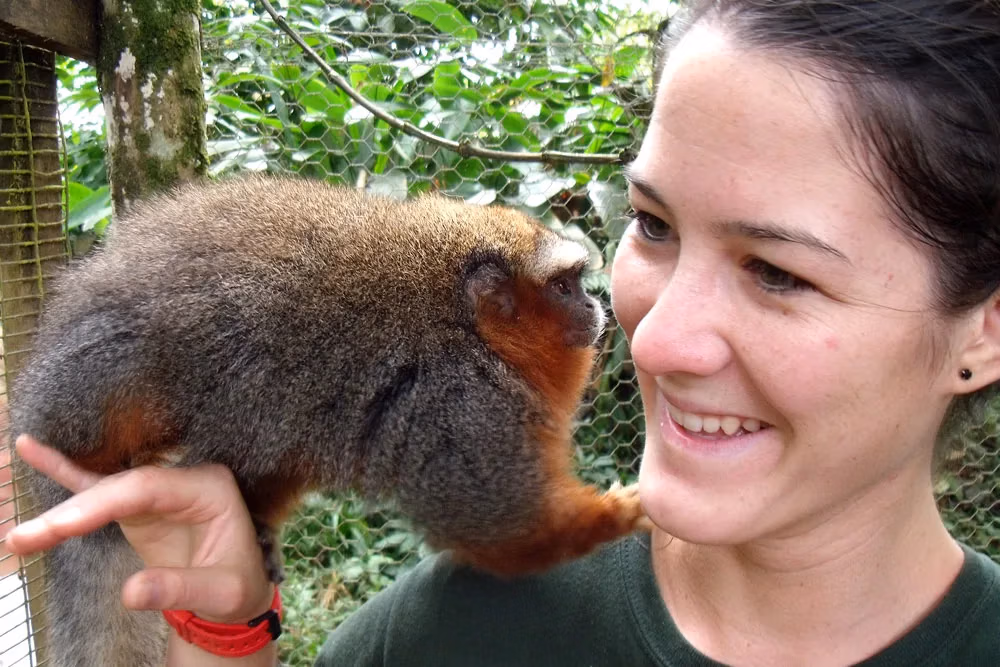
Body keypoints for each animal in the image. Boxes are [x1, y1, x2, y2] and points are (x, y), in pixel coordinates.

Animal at [9, 175, 650, 667]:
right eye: (563, 286)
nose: (594, 304)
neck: (470, 328)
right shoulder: (460, 404)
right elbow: (501, 527)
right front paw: (619, 515)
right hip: (81, 394)